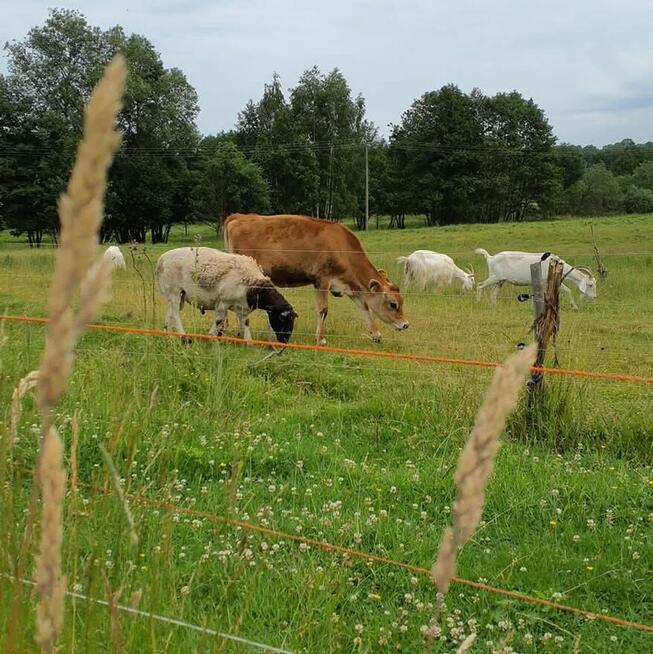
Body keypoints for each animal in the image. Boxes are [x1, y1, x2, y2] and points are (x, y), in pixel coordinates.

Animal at [154, 247, 296, 344]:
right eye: (283, 320)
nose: (285, 341)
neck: (253, 286)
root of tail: (161, 260)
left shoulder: (242, 307)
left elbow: (246, 322)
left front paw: (248, 341)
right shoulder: (222, 303)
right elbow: (219, 320)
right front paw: (212, 337)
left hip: (176, 294)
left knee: (170, 312)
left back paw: (166, 334)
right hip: (175, 290)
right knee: (175, 313)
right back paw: (184, 337)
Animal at [224, 215, 408, 348]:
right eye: (393, 304)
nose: (406, 325)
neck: (341, 246)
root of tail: (237, 217)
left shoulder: (348, 285)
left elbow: (364, 307)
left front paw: (376, 335)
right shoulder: (322, 279)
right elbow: (323, 309)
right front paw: (320, 339)